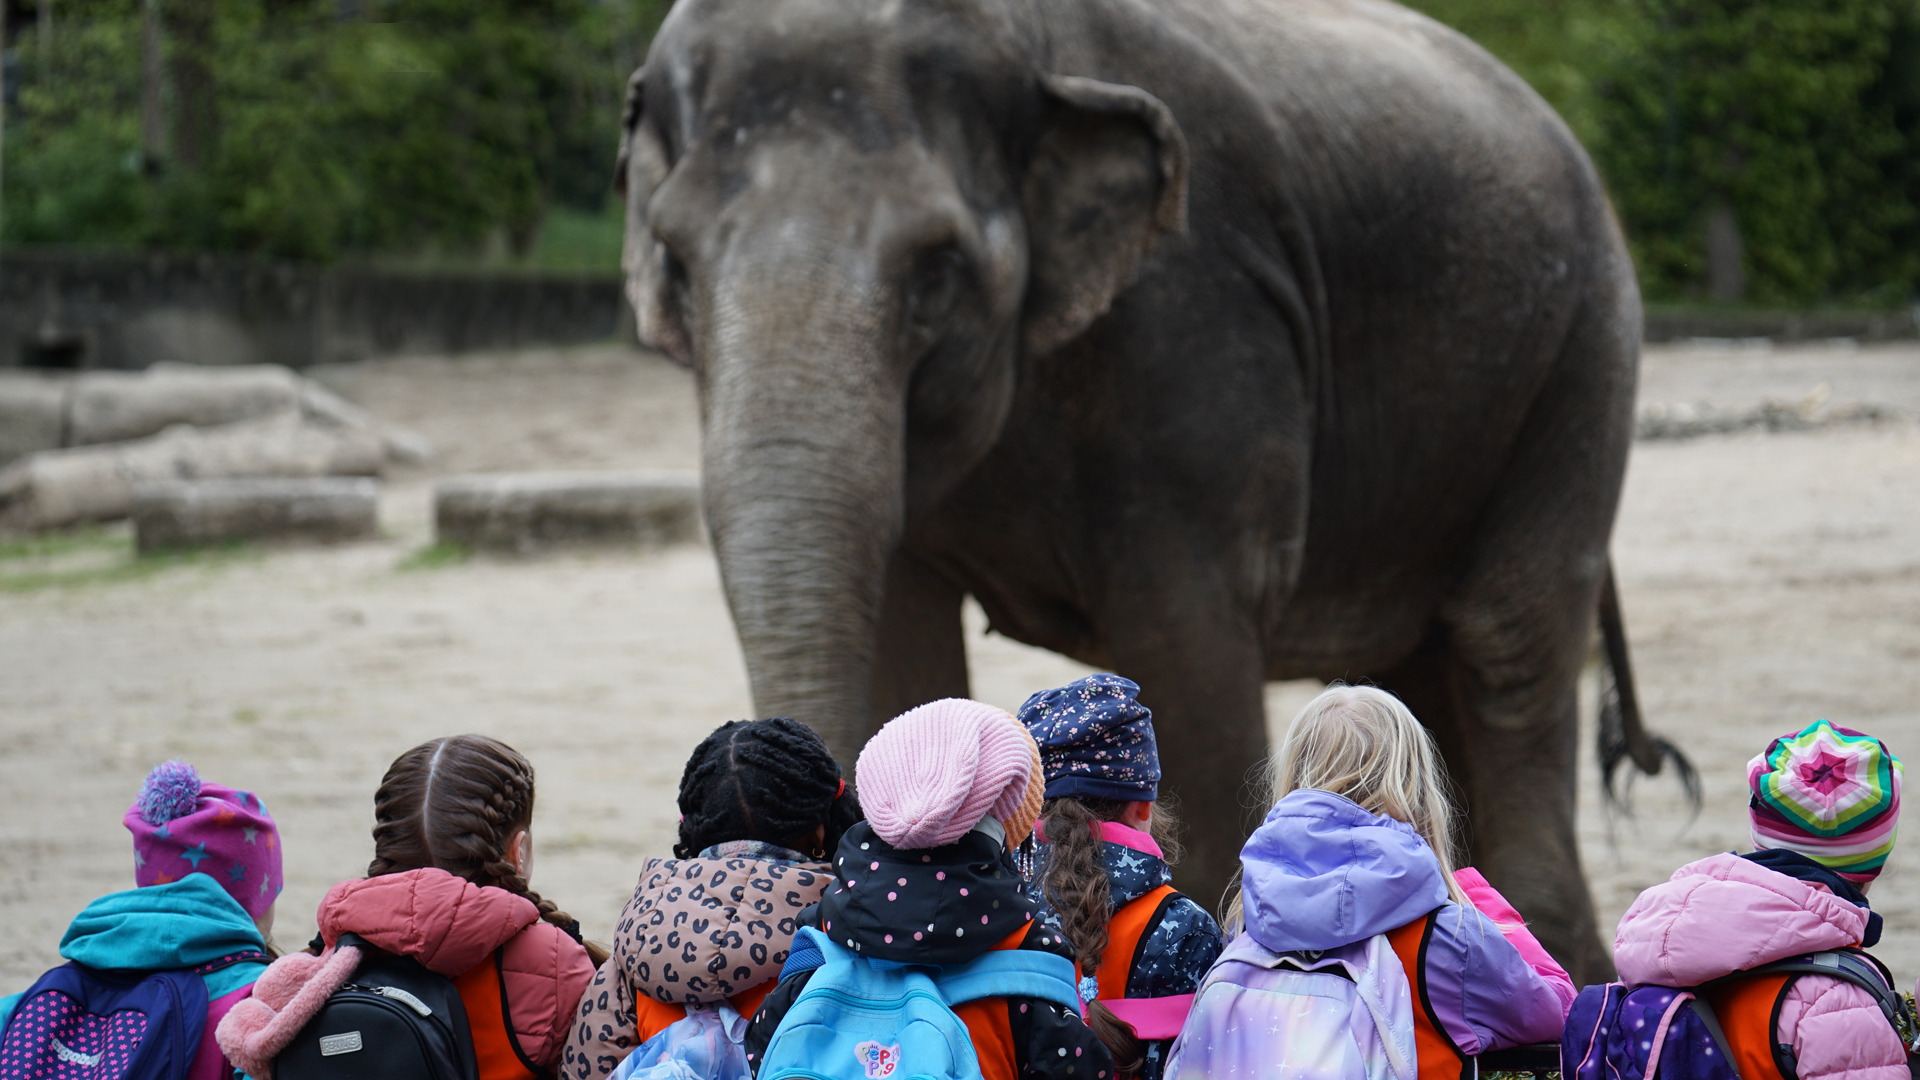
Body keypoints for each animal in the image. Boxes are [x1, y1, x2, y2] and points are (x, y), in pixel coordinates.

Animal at [622, 0, 1674, 980]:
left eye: (938, 267)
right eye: (672, 258)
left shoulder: (1198, 327)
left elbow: (1187, 645)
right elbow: (902, 637)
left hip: (1582, 356)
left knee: (1507, 642)